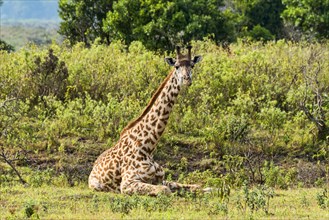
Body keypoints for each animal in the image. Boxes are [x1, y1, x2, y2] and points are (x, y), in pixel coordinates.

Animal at [89, 45, 201, 195]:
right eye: (176, 66)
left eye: (192, 65)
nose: (187, 79)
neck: (148, 147)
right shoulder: (127, 183)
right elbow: (165, 190)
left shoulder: (160, 179)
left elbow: (197, 186)